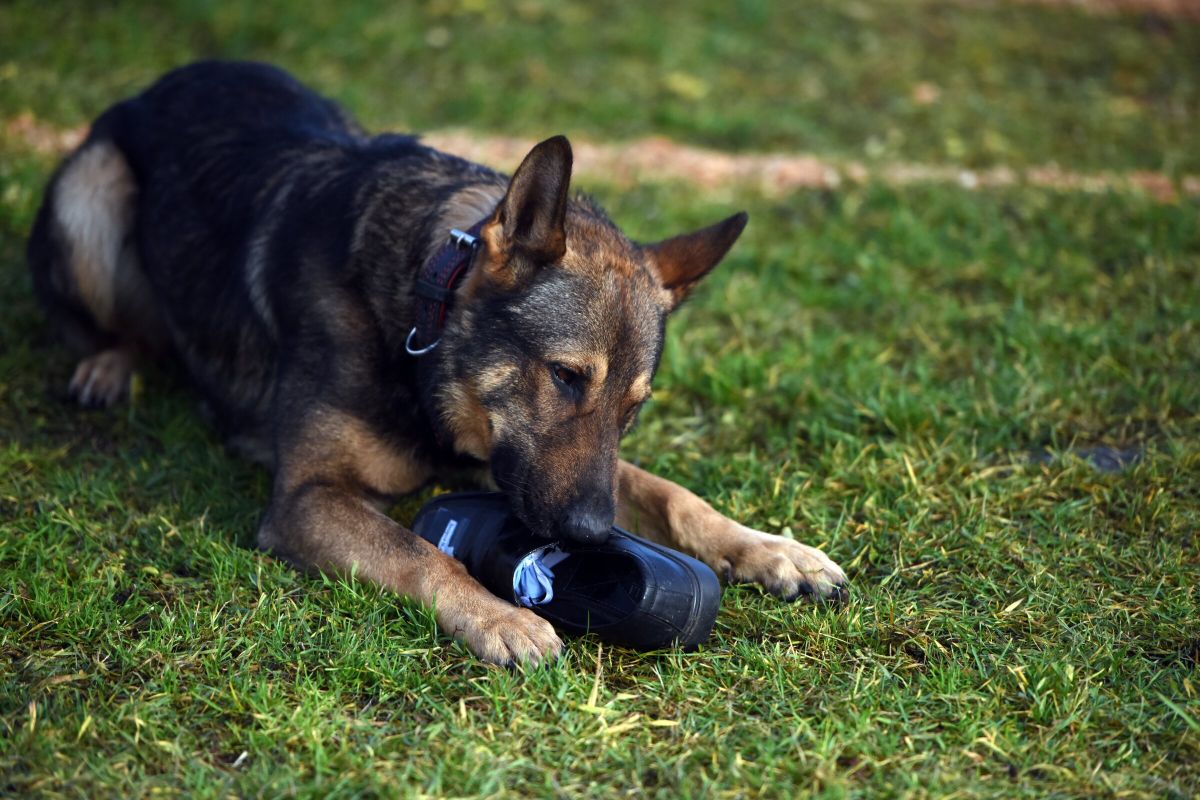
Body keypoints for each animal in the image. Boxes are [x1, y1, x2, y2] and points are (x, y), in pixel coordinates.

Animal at [27, 61, 846, 665]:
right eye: (566, 376)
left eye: (635, 407)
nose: (589, 537)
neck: (417, 317)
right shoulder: (308, 498)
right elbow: (420, 553)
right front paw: (499, 617)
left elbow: (671, 493)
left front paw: (770, 549)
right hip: (91, 193)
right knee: (113, 324)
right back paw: (108, 366)